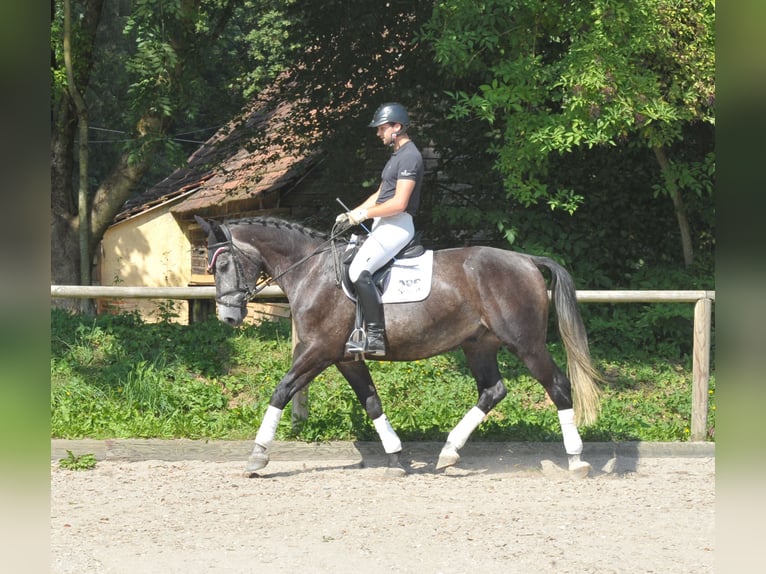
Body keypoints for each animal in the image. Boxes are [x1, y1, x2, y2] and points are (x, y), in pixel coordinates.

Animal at [195, 216, 604, 476]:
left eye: (223, 265)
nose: (228, 317)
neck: (312, 272)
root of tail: (525, 259)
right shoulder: (345, 358)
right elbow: (372, 402)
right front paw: (394, 457)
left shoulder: (319, 351)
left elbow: (281, 391)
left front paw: (257, 456)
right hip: (478, 344)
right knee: (493, 390)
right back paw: (449, 452)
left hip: (526, 343)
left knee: (557, 386)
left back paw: (576, 459)